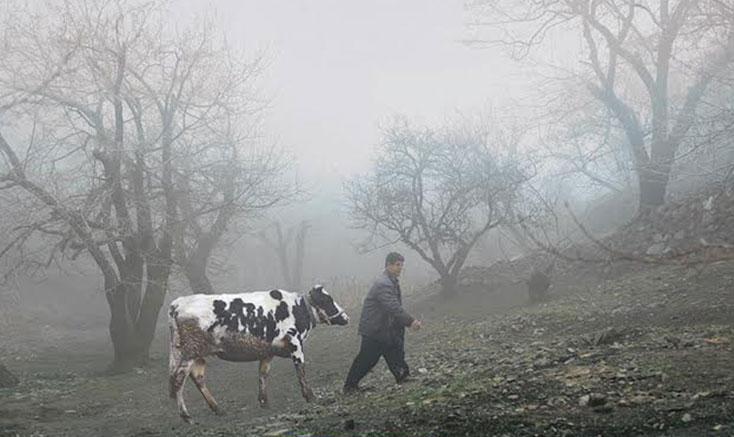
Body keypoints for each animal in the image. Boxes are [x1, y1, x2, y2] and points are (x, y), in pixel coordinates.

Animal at [168, 284, 350, 420]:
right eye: (328, 300)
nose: (346, 318)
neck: (298, 309)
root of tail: (179, 302)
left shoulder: (267, 351)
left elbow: (263, 374)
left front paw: (264, 402)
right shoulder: (295, 343)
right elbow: (301, 370)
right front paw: (310, 396)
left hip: (197, 354)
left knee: (197, 377)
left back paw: (217, 409)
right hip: (190, 351)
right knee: (179, 379)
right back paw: (185, 415)